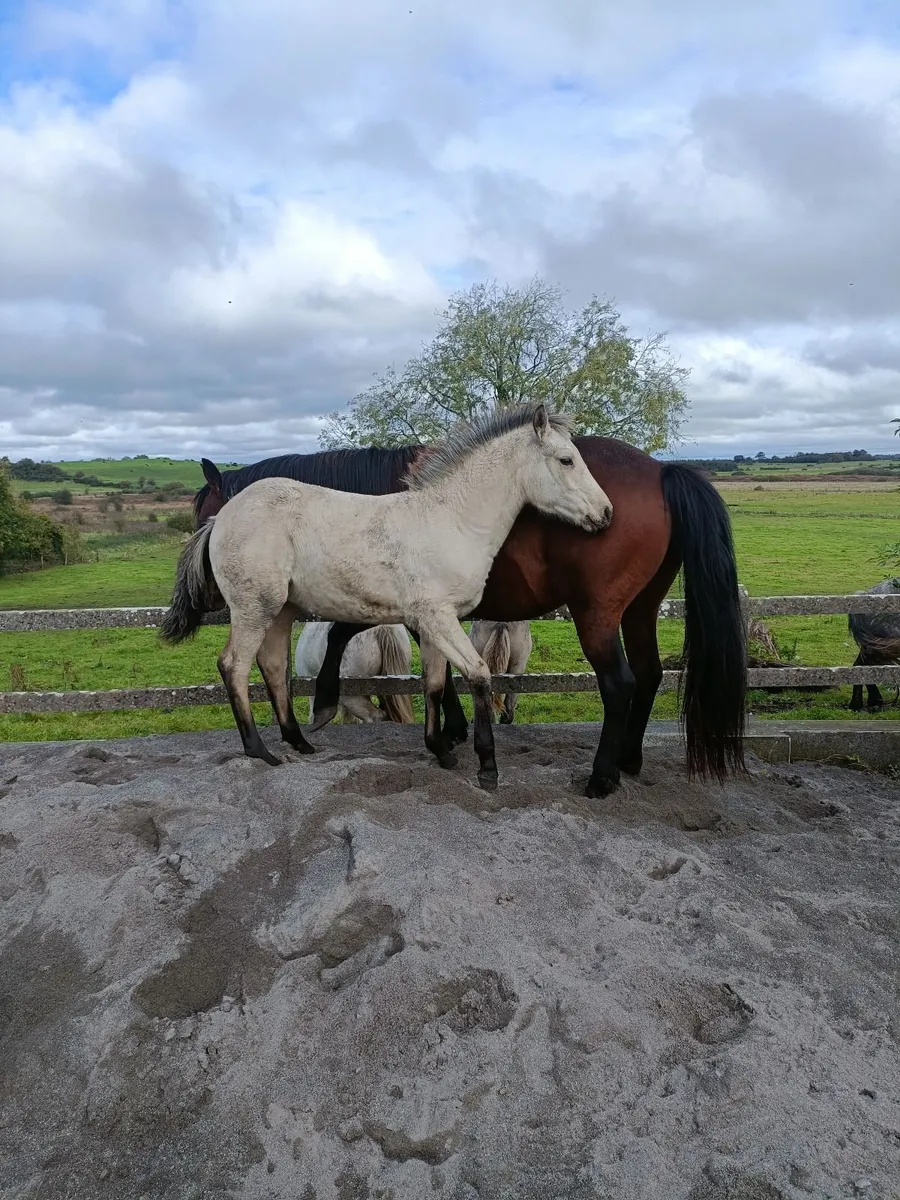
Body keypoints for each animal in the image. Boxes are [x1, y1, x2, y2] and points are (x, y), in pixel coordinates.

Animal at [163, 403, 613, 790]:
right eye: (566, 460)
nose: (606, 514)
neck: (452, 521)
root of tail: (222, 518)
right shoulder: (437, 618)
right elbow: (479, 676)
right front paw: (487, 767)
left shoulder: (433, 623)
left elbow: (435, 684)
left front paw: (442, 751)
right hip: (255, 608)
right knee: (234, 667)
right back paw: (259, 751)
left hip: (280, 611)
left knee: (272, 668)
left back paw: (300, 743)